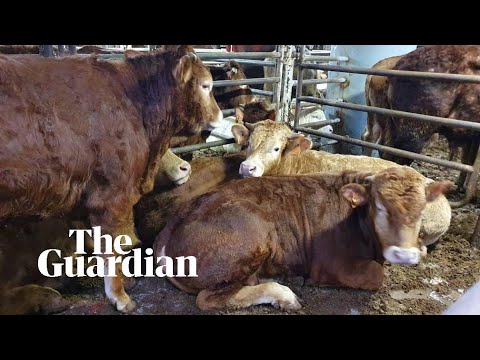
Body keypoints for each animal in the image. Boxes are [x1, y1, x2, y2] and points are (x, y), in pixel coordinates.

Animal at [154, 166, 450, 310]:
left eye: (422, 210)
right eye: (379, 207)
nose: (405, 254)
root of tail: (170, 226)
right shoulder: (332, 266)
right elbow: (377, 276)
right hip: (253, 233)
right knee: (208, 299)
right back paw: (283, 294)